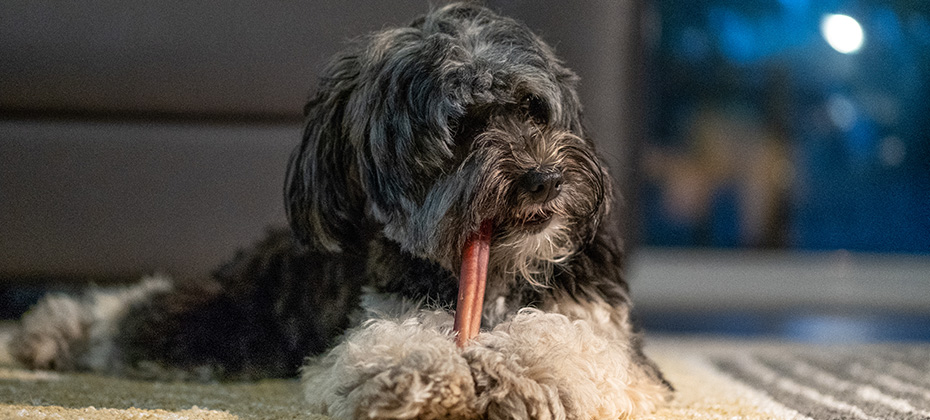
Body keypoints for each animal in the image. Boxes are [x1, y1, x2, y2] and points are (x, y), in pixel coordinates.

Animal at [10, 3, 672, 420]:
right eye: (460, 131)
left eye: (534, 109)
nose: (544, 179)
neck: (500, 276)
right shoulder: (383, 310)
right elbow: (390, 342)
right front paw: (421, 373)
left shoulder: (606, 332)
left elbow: (570, 345)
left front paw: (524, 373)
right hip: (233, 320)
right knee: (138, 310)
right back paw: (47, 330)